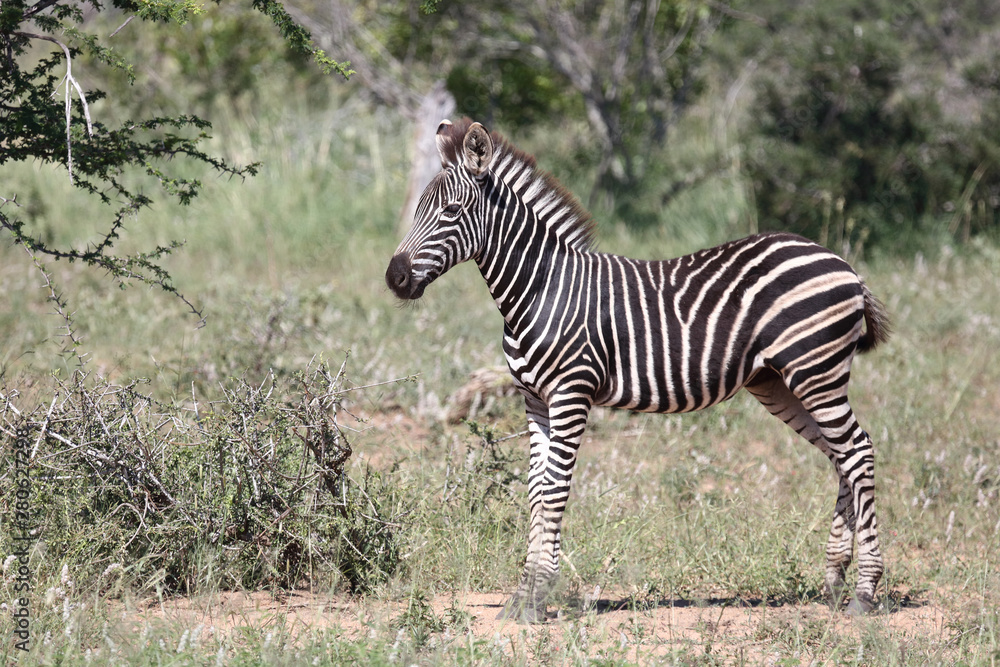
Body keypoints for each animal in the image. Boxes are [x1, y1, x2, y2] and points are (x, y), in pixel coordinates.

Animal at [386, 118, 891, 623]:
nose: (395, 278)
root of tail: (841, 261)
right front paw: (523, 595)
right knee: (840, 455)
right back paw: (833, 581)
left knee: (858, 451)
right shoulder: (535, 402)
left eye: (451, 211)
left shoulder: (572, 394)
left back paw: (865, 591)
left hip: (816, 373)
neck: (541, 290)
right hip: (779, 383)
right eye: (418, 209)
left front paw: (538, 594)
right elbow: (534, 490)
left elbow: (554, 490)